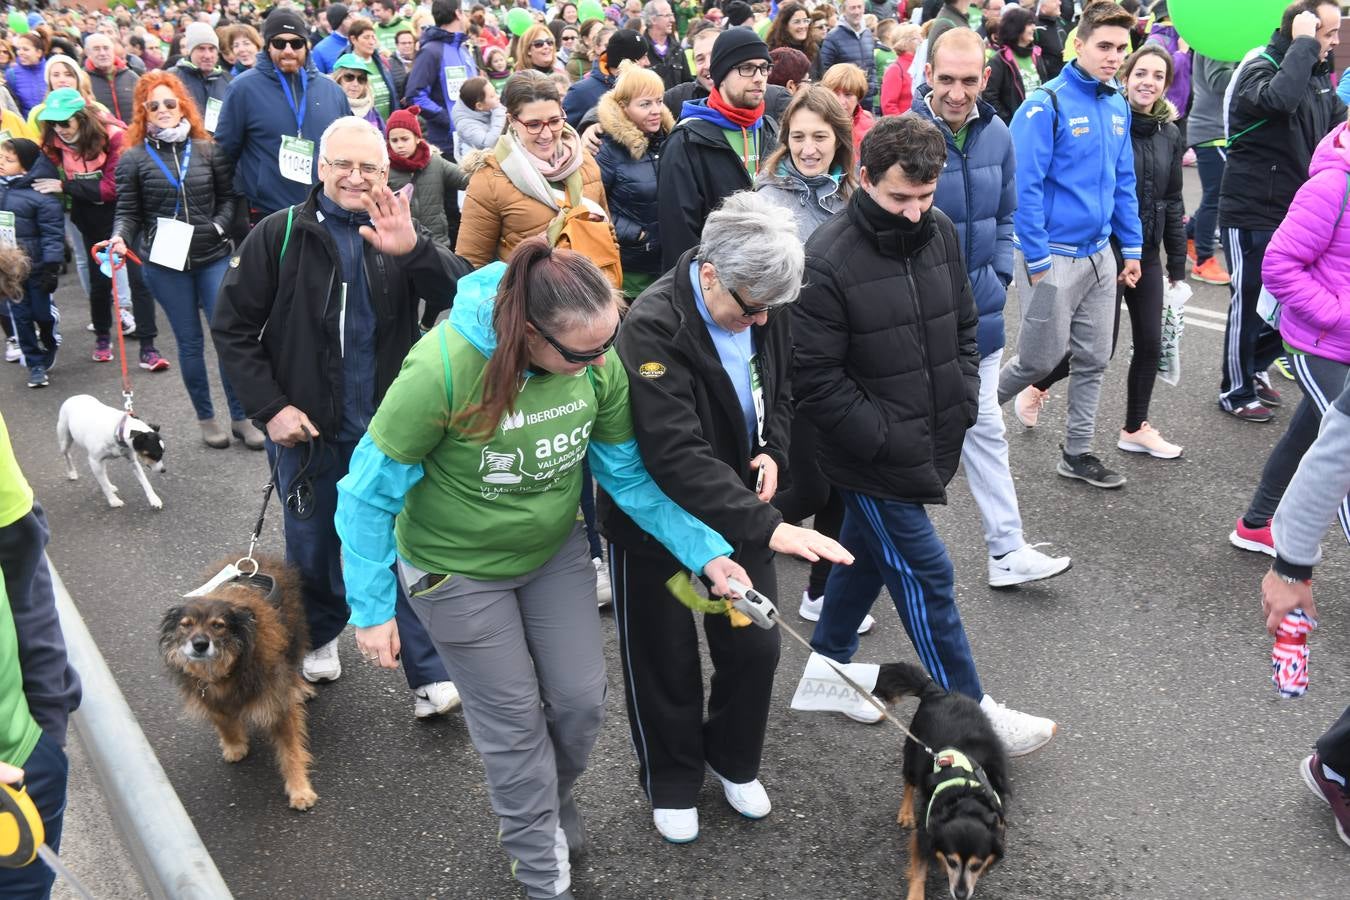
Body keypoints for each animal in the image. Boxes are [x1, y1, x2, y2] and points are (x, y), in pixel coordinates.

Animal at [160, 555, 318, 809]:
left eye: (218, 625)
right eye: (186, 624)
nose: (200, 644)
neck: (225, 671)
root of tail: (255, 558)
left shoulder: (277, 705)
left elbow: (291, 751)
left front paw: (300, 790)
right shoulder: (208, 697)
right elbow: (223, 722)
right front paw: (234, 745)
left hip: (293, 635)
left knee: (293, 663)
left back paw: (300, 687)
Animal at [869, 661, 1009, 900]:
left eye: (976, 865)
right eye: (952, 861)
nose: (960, 894)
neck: (968, 798)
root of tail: (935, 691)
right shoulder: (925, 834)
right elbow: (919, 869)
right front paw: (917, 894)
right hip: (914, 752)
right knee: (909, 782)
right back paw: (906, 813)